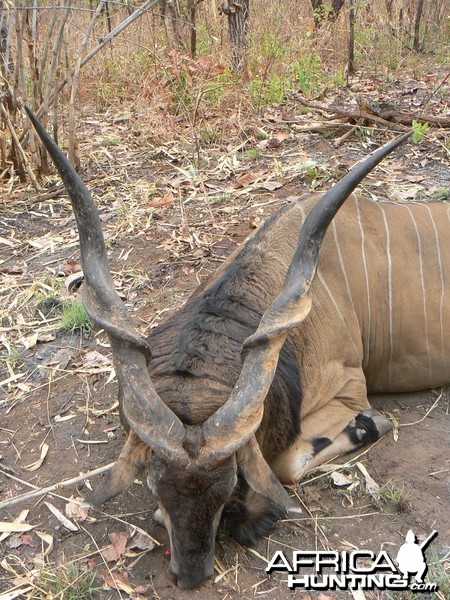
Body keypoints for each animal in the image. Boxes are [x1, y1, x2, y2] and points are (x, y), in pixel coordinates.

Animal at [25, 106, 450, 584]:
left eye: (229, 487)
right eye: (154, 484)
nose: (191, 574)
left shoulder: (349, 388)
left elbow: (287, 465)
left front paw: (370, 424)